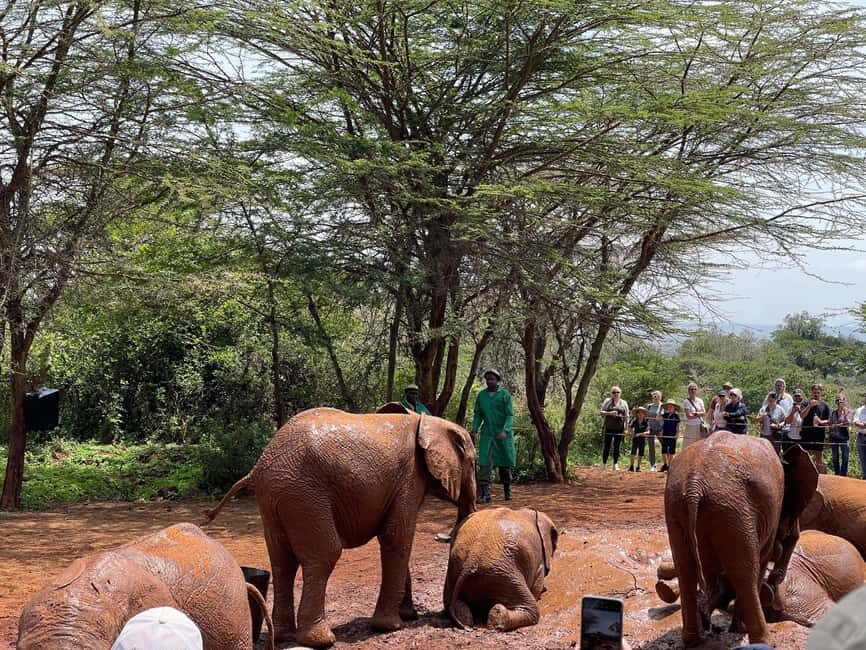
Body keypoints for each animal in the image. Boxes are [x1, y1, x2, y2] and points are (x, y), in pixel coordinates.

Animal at [204, 406, 477, 648]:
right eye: (473, 463)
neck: (429, 421)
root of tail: (259, 467)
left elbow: (396, 538)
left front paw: (407, 617)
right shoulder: (409, 479)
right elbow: (396, 537)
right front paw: (391, 626)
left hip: (275, 499)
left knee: (282, 561)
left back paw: (284, 637)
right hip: (304, 495)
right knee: (325, 554)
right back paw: (321, 640)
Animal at [664, 432, 818, 646]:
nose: (776, 580)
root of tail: (695, 485)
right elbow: (761, 561)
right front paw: (739, 628)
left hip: (678, 506)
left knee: (685, 569)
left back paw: (694, 639)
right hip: (732, 510)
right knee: (745, 573)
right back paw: (762, 639)